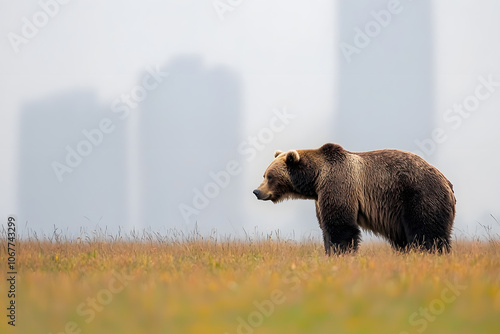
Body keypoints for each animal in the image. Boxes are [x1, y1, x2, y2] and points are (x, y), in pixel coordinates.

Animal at [254, 142, 458, 254]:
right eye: (264, 174)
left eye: (269, 176)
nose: (257, 191)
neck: (315, 179)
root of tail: (448, 183)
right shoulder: (320, 197)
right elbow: (326, 228)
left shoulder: (339, 184)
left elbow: (341, 226)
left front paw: (340, 254)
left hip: (420, 196)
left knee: (427, 232)